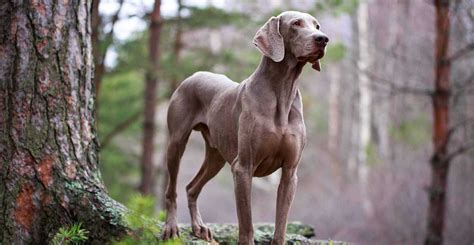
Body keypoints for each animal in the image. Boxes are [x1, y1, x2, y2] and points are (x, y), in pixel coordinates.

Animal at [161, 10, 328, 244]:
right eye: (296, 23)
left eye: (317, 25)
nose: (323, 39)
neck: (282, 93)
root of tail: (193, 75)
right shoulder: (242, 168)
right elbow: (246, 224)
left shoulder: (290, 172)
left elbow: (281, 226)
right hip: (176, 143)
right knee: (172, 189)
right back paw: (171, 227)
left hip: (216, 156)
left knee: (191, 187)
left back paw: (199, 227)